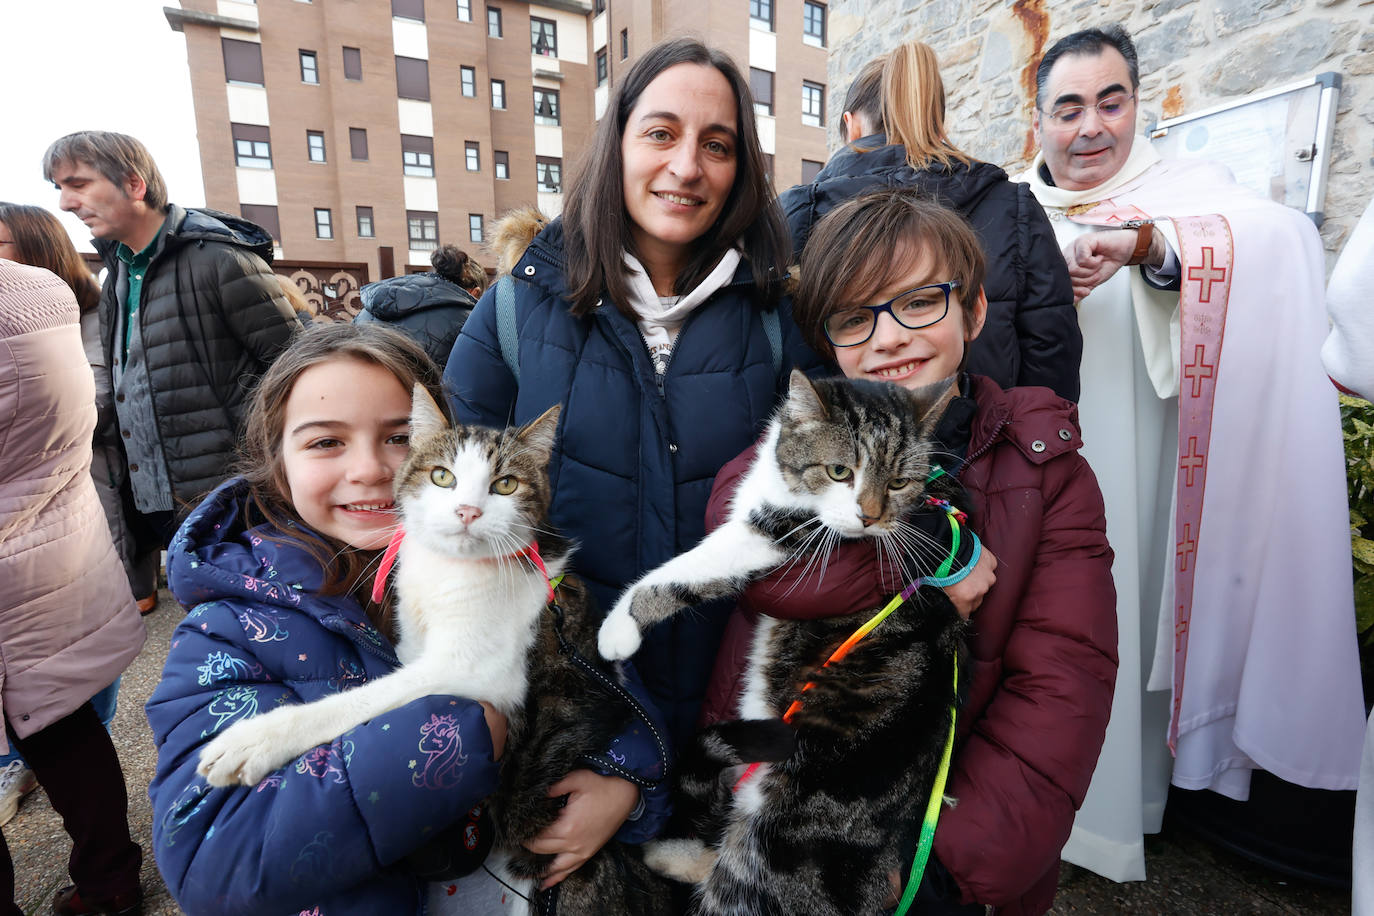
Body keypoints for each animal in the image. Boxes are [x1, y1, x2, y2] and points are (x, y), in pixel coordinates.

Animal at [599, 373, 967, 916]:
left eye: (899, 483)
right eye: (839, 471)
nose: (869, 518)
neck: (783, 479)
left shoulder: (779, 535)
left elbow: (688, 570)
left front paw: (619, 627)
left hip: (778, 842)